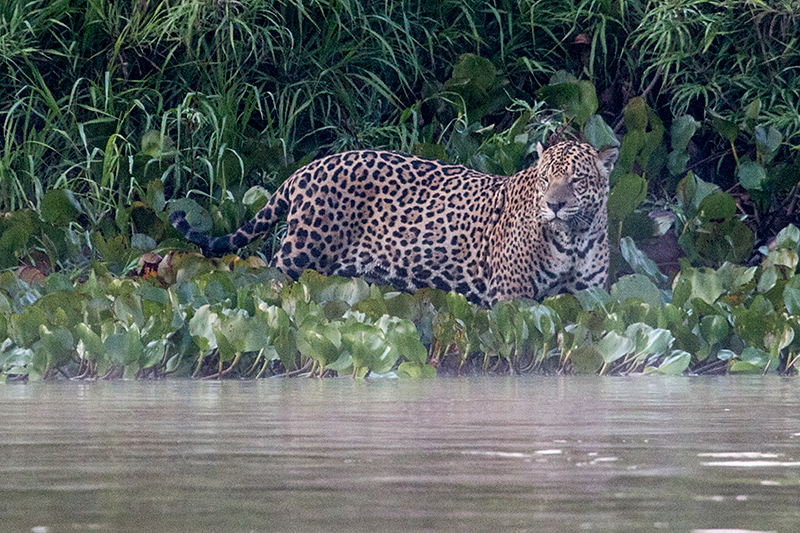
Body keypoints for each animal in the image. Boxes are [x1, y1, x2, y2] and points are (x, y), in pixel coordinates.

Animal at [170, 141, 619, 307]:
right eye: (545, 179)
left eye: (576, 180)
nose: (554, 205)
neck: (573, 237)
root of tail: (307, 168)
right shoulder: (512, 298)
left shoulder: (591, 298)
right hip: (297, 258)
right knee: (264, 289)